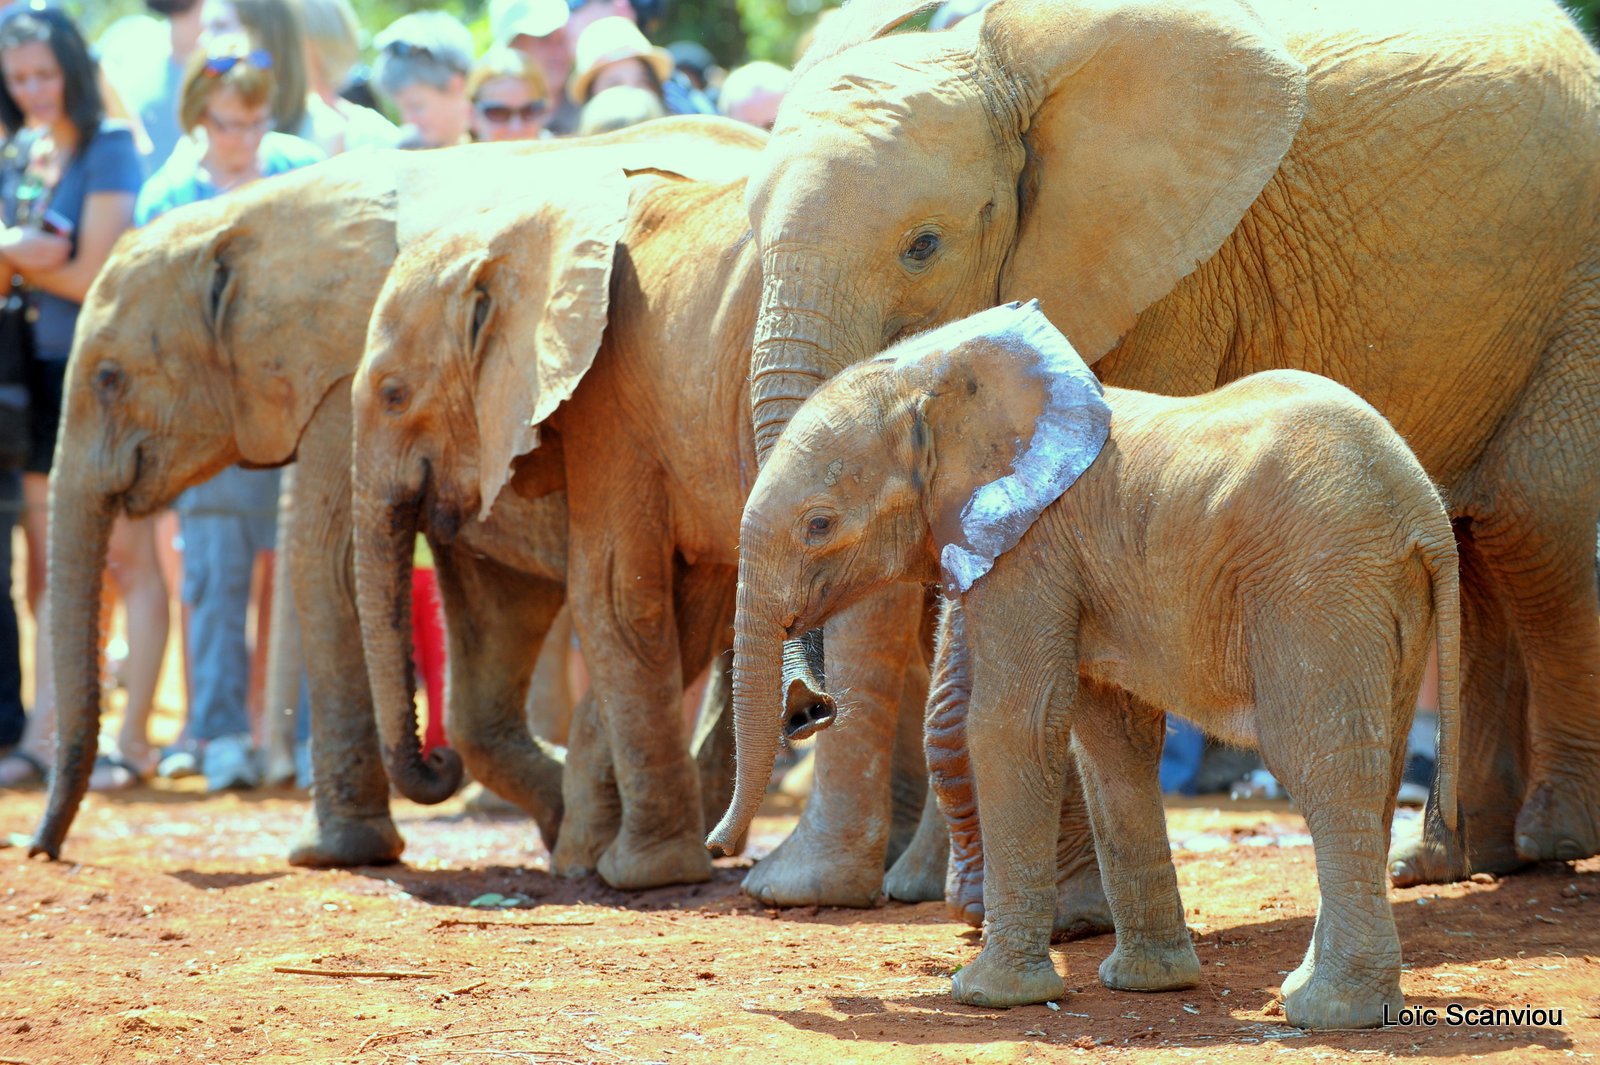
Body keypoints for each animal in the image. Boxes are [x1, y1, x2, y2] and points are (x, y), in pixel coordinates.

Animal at [25, 124, 752, 869]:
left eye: (108, 379)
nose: (41, 849)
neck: (252, 217)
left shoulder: (344, 373)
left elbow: (329, 564)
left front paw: (337, 854)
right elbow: (485, 604)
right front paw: (556, 815)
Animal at [713, 300, 1465, 1029]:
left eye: (819, 524)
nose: (811, 709)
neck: (935, 377)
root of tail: (1426, 510)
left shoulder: (1031, 552)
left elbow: (1012, 726)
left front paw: (987, 995)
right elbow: (1110, 741)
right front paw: (1148, 984)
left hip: (1319, 584)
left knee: (1321, 762)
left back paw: (1331, 1012)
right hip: (1380, 596)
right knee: (1374, 764)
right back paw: (1312, 991)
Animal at [732, 0, 1600, 901]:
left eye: (922, 246)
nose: (808, 704)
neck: (996, 69)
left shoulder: (1169, 282)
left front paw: (1060, 911)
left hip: (1575, 286)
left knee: (1528, 528)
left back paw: (1550, 837)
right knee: (1476, 542)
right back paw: (1447, 860)